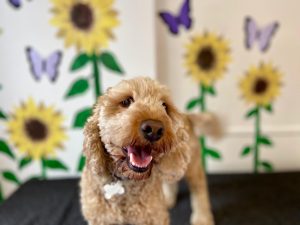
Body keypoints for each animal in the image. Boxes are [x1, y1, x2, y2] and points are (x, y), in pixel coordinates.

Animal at [81, 77, 219, 225]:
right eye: (126, 101)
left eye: (165, 106)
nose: (154, 129)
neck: (126, 182)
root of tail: (186, 116)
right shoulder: (99, 218)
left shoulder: (154, 217)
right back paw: (168, 199)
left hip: (191, 165)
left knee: (199, 188)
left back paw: (202, 218)